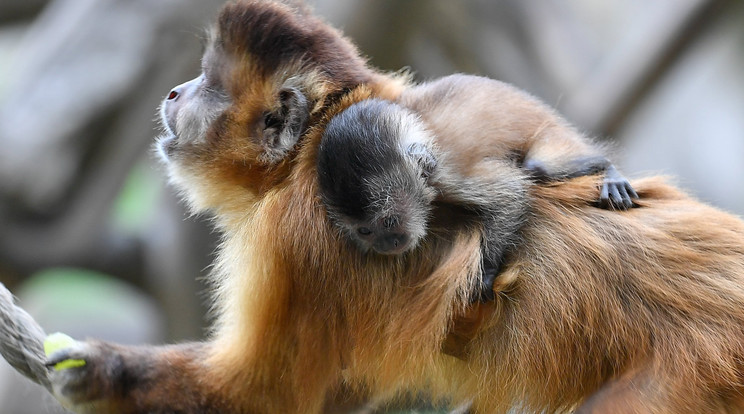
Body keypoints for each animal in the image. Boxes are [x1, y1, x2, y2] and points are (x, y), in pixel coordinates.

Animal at [43, 0, 744, 414]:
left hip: (683, 379)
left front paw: (107, 370)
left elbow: (264, 393)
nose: (173, 91)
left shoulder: (287, 237)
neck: (312, 145)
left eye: (207, 87)